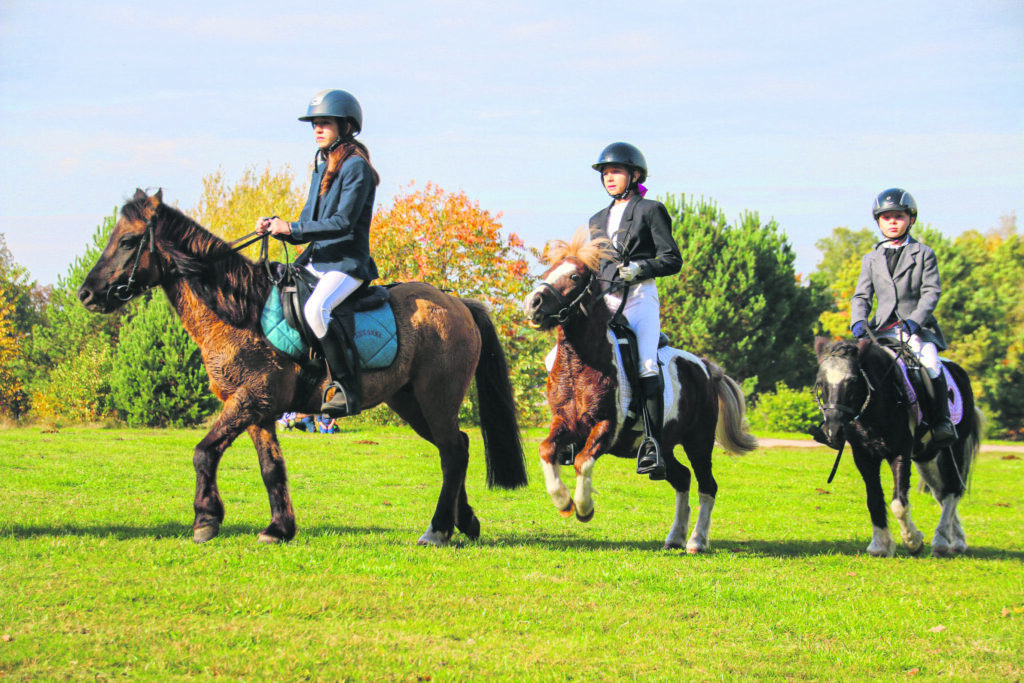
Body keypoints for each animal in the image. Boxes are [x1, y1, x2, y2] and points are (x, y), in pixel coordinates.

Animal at [77, 189, 528, 548]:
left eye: (129, 241)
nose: (86, 294)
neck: (241, 310)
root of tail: (456, 303)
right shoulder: (258, 409)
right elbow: (271, 468)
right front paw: (279, 528)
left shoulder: (249, 399)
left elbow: (204, 452)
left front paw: (206, 519)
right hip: (410, 403)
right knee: (456, 447)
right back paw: (464, 521)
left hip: (436, 397)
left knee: (452, 451)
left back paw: (437, 530)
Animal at [524, 228, 757, 548]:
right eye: (548, 272)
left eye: (574, 276)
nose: (532, 304)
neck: (580, 361)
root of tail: (706, 369)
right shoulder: (565, 421)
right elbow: (547, 450)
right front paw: (562, 502)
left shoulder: (607, 426)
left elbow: (583, 461)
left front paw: (584, 508)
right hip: (665, 446)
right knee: (682, 478)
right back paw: (675, 537)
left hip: (698, 441)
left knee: (707, 484)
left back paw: (697, 541)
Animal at [815, 335, 983, 557]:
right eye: (820, 383)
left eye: (853, 381)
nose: (833, 431)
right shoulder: (864, 456)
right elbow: (874, 500)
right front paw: (879, 545)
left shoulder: (900, 453)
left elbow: (898, 503)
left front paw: (913, 541)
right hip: (926, 457)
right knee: (941, 492)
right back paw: (955, 540)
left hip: (954, 448)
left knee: (952, 491)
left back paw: (941, 540)